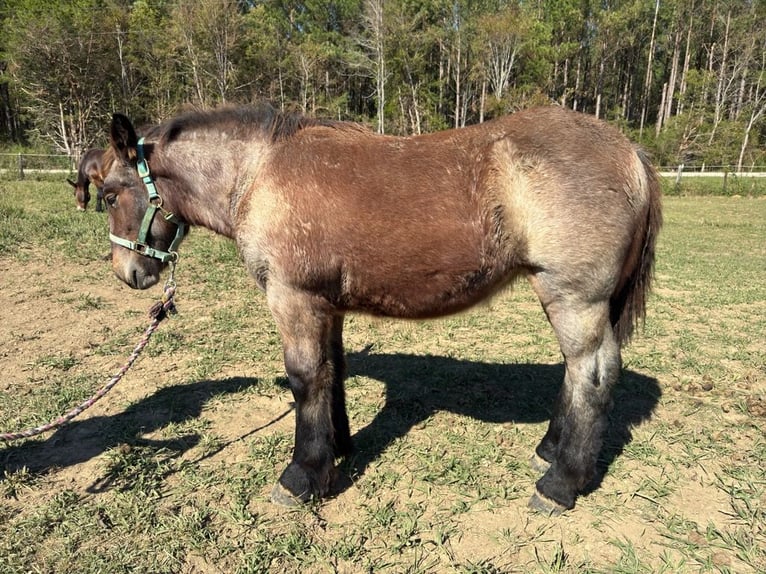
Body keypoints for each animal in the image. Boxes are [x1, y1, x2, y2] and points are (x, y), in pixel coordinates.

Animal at [102, 104, 664, 516]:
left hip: (574, 299)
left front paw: (300, 476)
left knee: (592, 374)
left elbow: (305, 378)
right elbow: (332, 372)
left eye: (108, 194)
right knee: (577, 373)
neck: (259, 174)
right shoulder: (326, 307)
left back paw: (560, 483)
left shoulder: (292, 299)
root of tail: (630, 151)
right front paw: (336, 450)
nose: (128, 273)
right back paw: (549, 449)